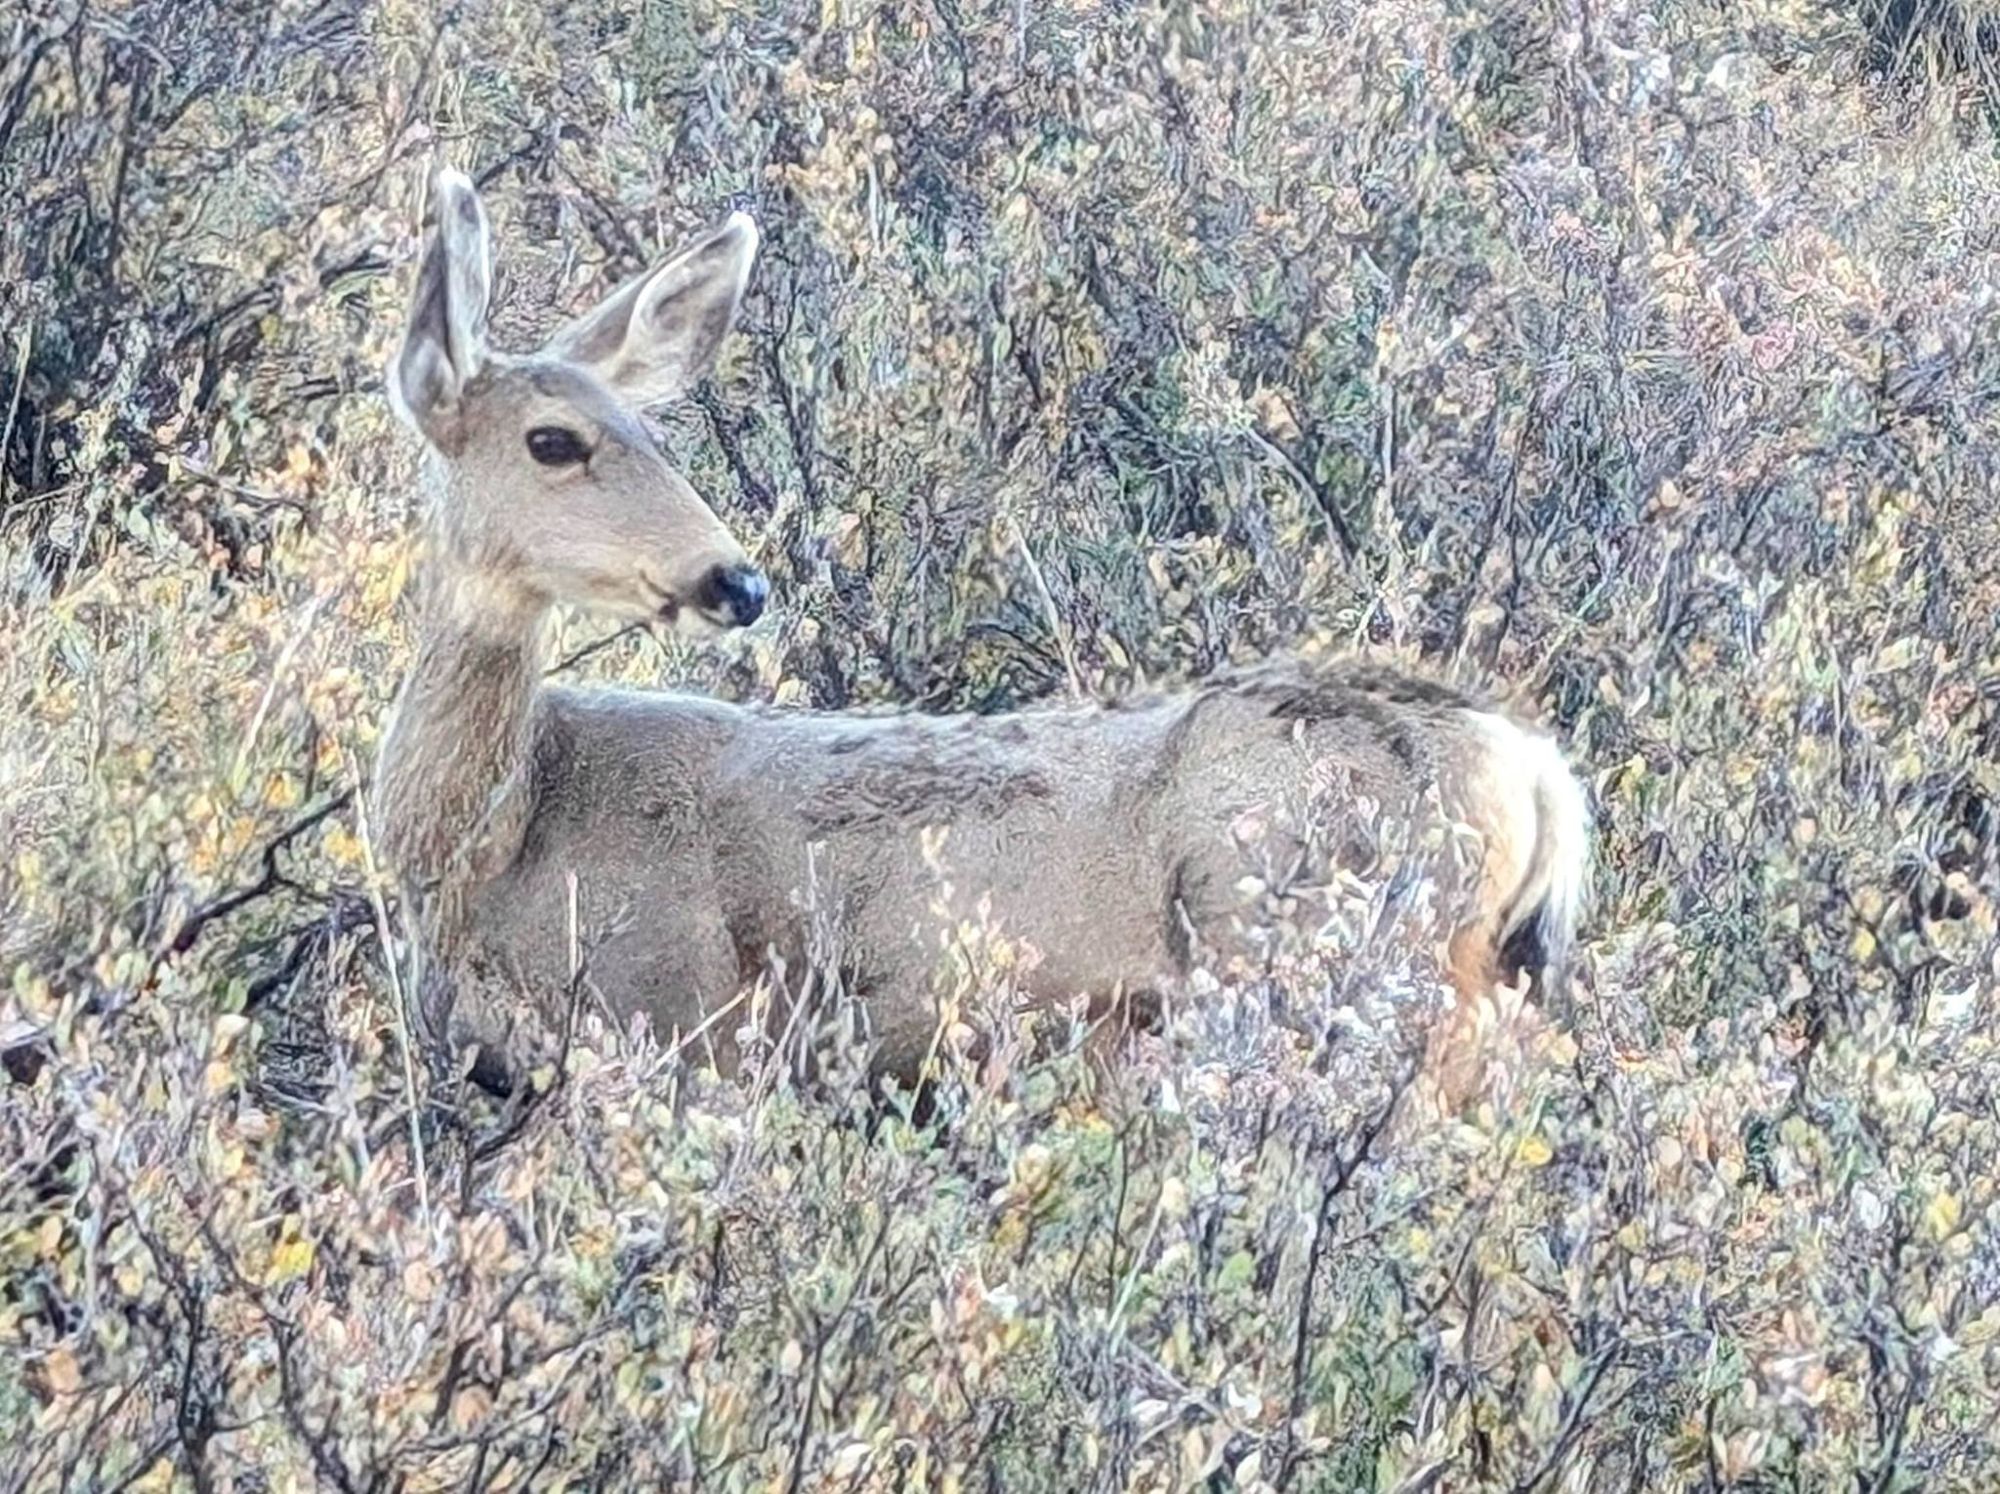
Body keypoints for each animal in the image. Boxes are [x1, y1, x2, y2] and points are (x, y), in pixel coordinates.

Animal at [376, 175, 1592, 1104]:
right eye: (554, 439)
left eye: (647, 432)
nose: (737, 580)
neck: (489, 840)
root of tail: (1532, 771)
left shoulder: (669, 1023)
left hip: (1322, 960)